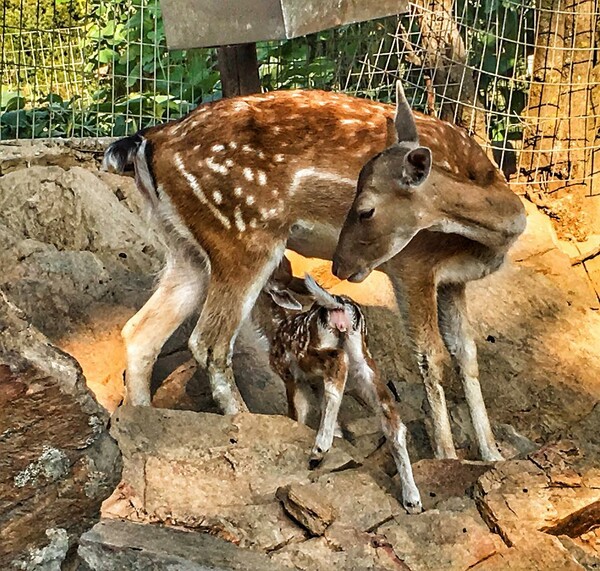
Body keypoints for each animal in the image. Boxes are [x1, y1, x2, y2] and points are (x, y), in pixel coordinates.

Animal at [103, 81, 524, 464]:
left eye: (365, 209)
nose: (341, 266)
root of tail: (149, 140)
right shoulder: (413, 264)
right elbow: (431, 356)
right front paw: (447, 456)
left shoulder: (454, 281)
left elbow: (467, 354)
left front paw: (493, 455)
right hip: (245, 235)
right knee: (209, 342)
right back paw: (247, 425)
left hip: (184, 247)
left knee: (141, 331)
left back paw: (144, 421)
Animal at [262, 268, 422, 512]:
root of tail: (340, 306)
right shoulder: (316, 384)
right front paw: (337, 436)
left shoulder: (291, 375)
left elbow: (298, 412)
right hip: (365, 359)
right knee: (391, 415)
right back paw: (412, 499)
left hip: (314, 353)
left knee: (338, 361)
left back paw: (318, 450)